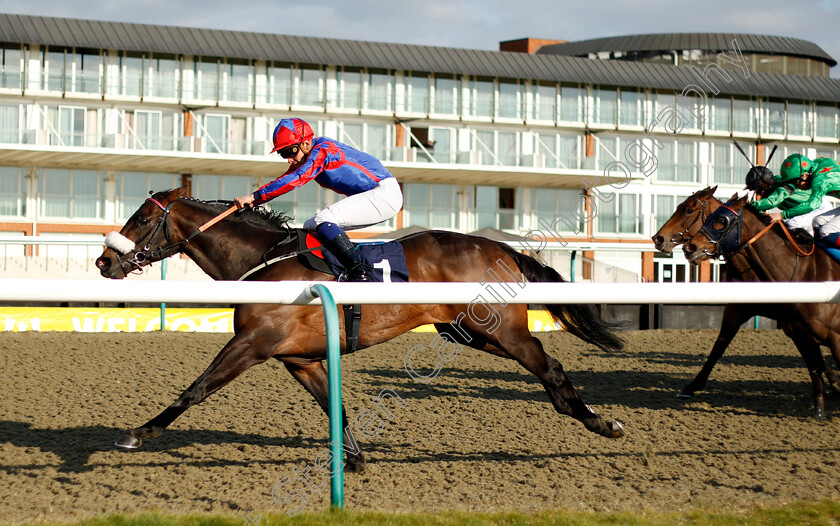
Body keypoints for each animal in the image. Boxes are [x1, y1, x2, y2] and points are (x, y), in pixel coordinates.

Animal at [95, 188, 628, 472]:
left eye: (142, 217)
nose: (103, 262)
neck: (261, 260)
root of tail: (501, 248)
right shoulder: (301, 359)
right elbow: (336, 408)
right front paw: (353, 461)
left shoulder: (252, 343)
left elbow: (196, 389)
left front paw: (137, 434)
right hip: (466, 332)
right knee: (545, 364)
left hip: (500, 331)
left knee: (549, 365)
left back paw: (602, 422)